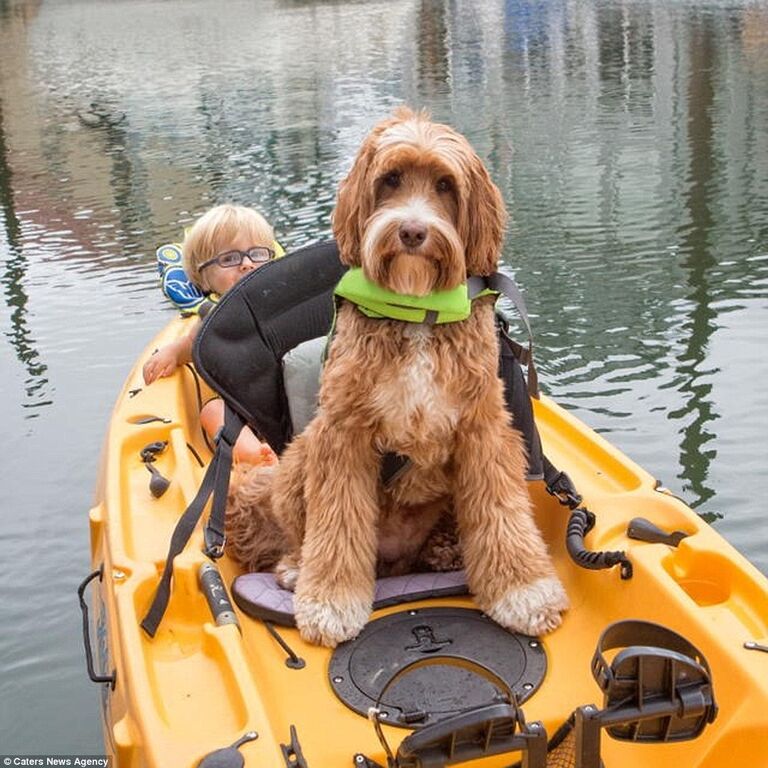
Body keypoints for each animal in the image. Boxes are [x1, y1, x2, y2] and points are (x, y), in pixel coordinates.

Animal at [225, 108, 568, 644]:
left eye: (445, 185)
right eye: (390, 180)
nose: (411, 232)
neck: (417, 312)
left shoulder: (483, 429)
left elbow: (502, 513)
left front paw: (523, 592)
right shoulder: (343, 432)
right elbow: (337, 522)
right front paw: (331, 602)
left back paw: (445, 553)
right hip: (302, 455)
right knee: (303, 537)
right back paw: (297, 570)